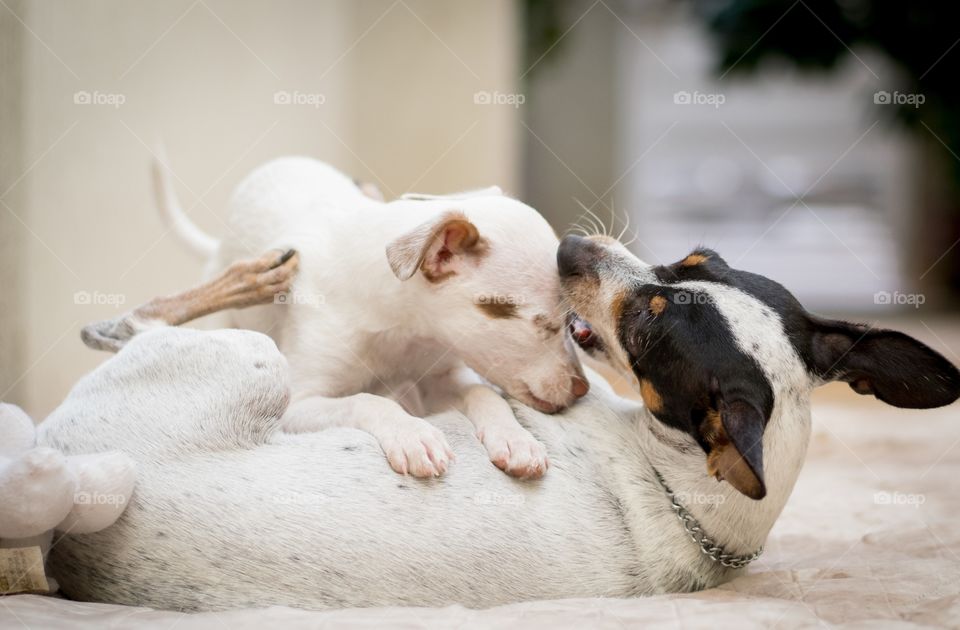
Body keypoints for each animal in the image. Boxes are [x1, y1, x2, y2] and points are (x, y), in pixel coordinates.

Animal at [41, 233, 956, 612]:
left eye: (650, 320)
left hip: (247, 361)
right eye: (695, 258)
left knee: (143, 323)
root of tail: (72, 481)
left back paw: (234, 283)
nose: (571, 245)